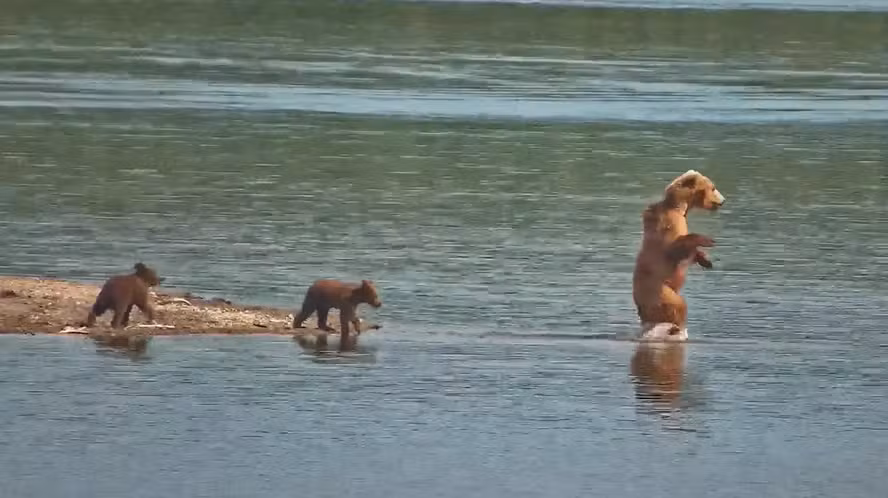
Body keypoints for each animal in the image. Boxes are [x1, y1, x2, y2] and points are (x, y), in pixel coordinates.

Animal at [632, 170, 725, 340]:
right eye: (713, 187)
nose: (723, 201)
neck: (680, 207)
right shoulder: (668, 226)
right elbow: (677, 245)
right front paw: (708, 240)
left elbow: (690, 253)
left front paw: (706, 260)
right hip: (661, 291)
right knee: (679, 306)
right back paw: (676, 328)